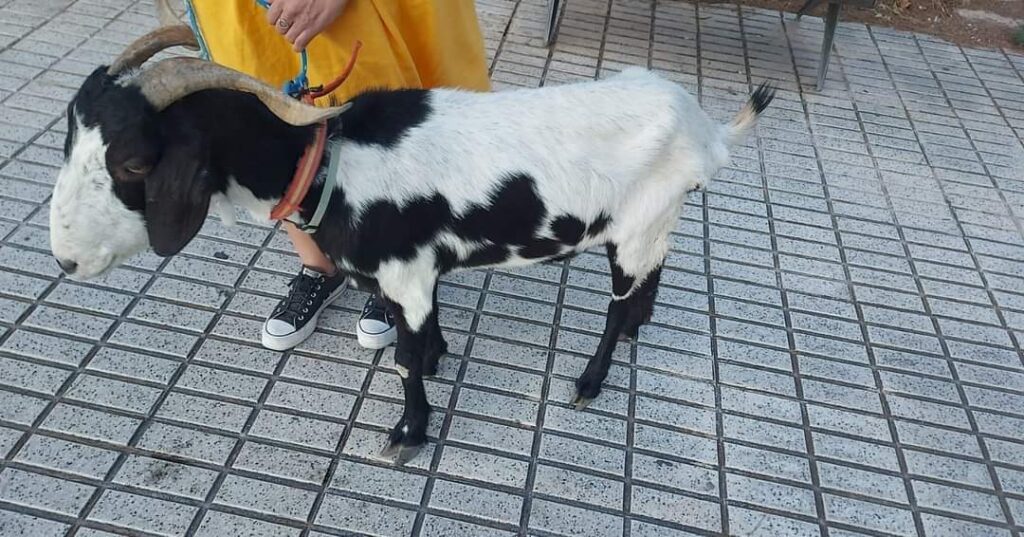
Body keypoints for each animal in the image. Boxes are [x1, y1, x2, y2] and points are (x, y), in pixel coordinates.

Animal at [49, 24, 774, 463]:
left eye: (136, 161)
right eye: (70, 134)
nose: (64, 259)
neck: (329, 165)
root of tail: (706, 128)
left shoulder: (403, 270)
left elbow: (399, 359)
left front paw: (409, 432)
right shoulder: (416, 272)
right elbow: (418, 335)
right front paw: (437, 357)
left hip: (636, 224)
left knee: (617, 306)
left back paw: (590, 381)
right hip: (654, 225)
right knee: (647, 285)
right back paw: (636, 331)